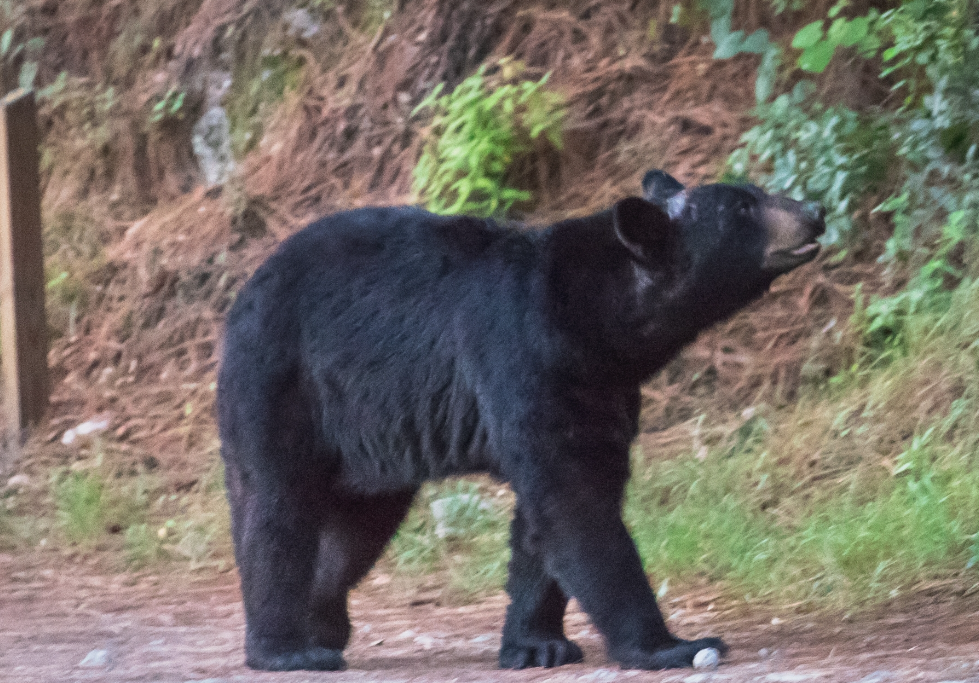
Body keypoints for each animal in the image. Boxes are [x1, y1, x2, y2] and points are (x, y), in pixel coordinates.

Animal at [216, 171, 828, 672]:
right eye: (744, 206)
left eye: (754, 193)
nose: (815, 210)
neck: (600, 319)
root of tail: (244, 292)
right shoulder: (522, 353)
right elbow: (573, 500)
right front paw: (669, 644)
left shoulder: (601, 388)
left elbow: (555, 505)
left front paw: (537, 643)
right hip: (282, 382)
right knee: (277, 507)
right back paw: (285, 648)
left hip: (370, 437)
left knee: (357, 526)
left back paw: (323, 625)